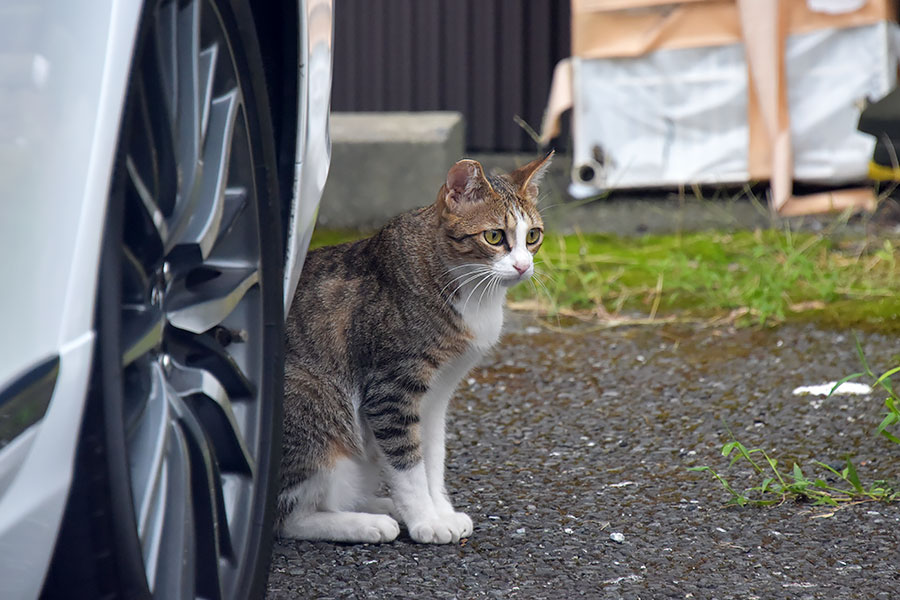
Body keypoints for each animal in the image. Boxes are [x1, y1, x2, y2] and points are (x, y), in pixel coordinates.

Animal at [278, 151, 552, 544]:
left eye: (532, 236)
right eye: (494, 236)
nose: (522, 266)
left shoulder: (436, 397)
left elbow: (431, 459)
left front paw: (441, 511)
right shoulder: (391, 390)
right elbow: (407, 464)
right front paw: (425, 520)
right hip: (313, 400)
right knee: (292, 517)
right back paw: (366, 523)